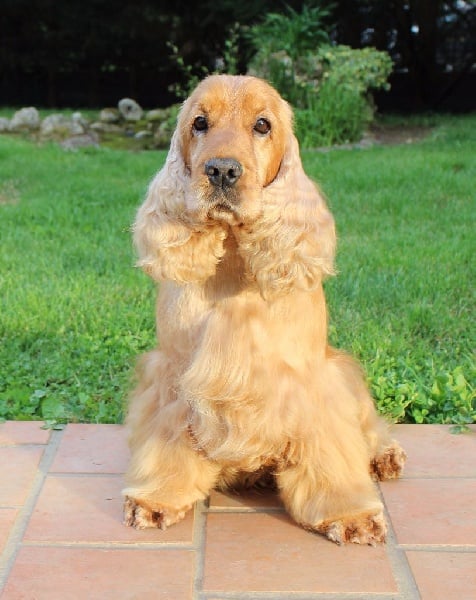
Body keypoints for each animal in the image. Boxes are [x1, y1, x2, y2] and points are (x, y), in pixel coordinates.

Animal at [122, 74, 406, 545]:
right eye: (199, 122)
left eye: (262, 125)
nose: (222, 171)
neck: (235, 259)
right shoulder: (174, 375)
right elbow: (166, 438)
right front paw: (156, 499)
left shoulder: (308, 377)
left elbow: (332, 450)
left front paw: (349, 514)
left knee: (369, 428)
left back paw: (385, 455)